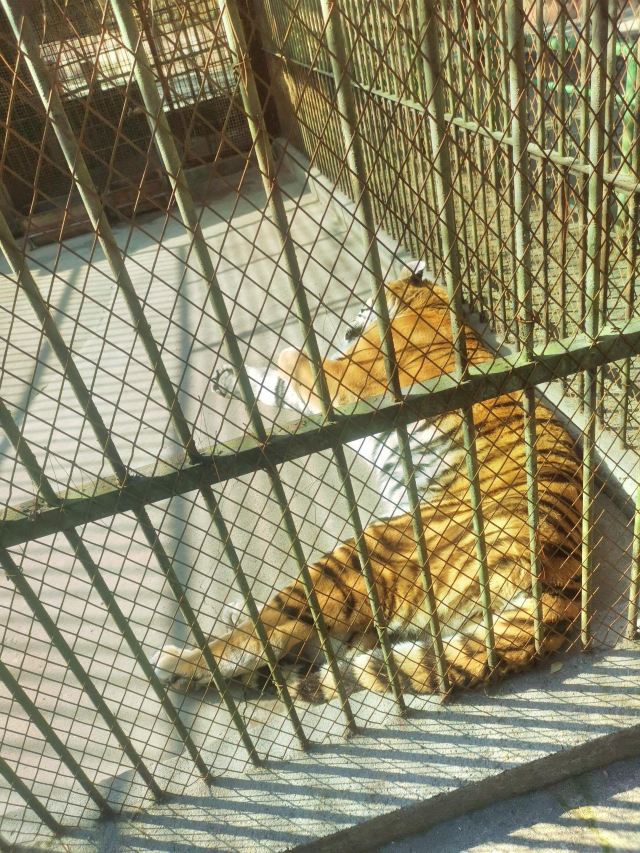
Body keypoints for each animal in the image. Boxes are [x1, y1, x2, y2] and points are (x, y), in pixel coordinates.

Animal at [152, 269, 582, 701]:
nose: (348, 322)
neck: (431, 304)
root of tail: (559, 581)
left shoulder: (338, 379)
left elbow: (289, 367)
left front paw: (274, 358)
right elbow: (276, 384)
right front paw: (227, 379)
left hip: (363, 558)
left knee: (266, 636)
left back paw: (175, 663)